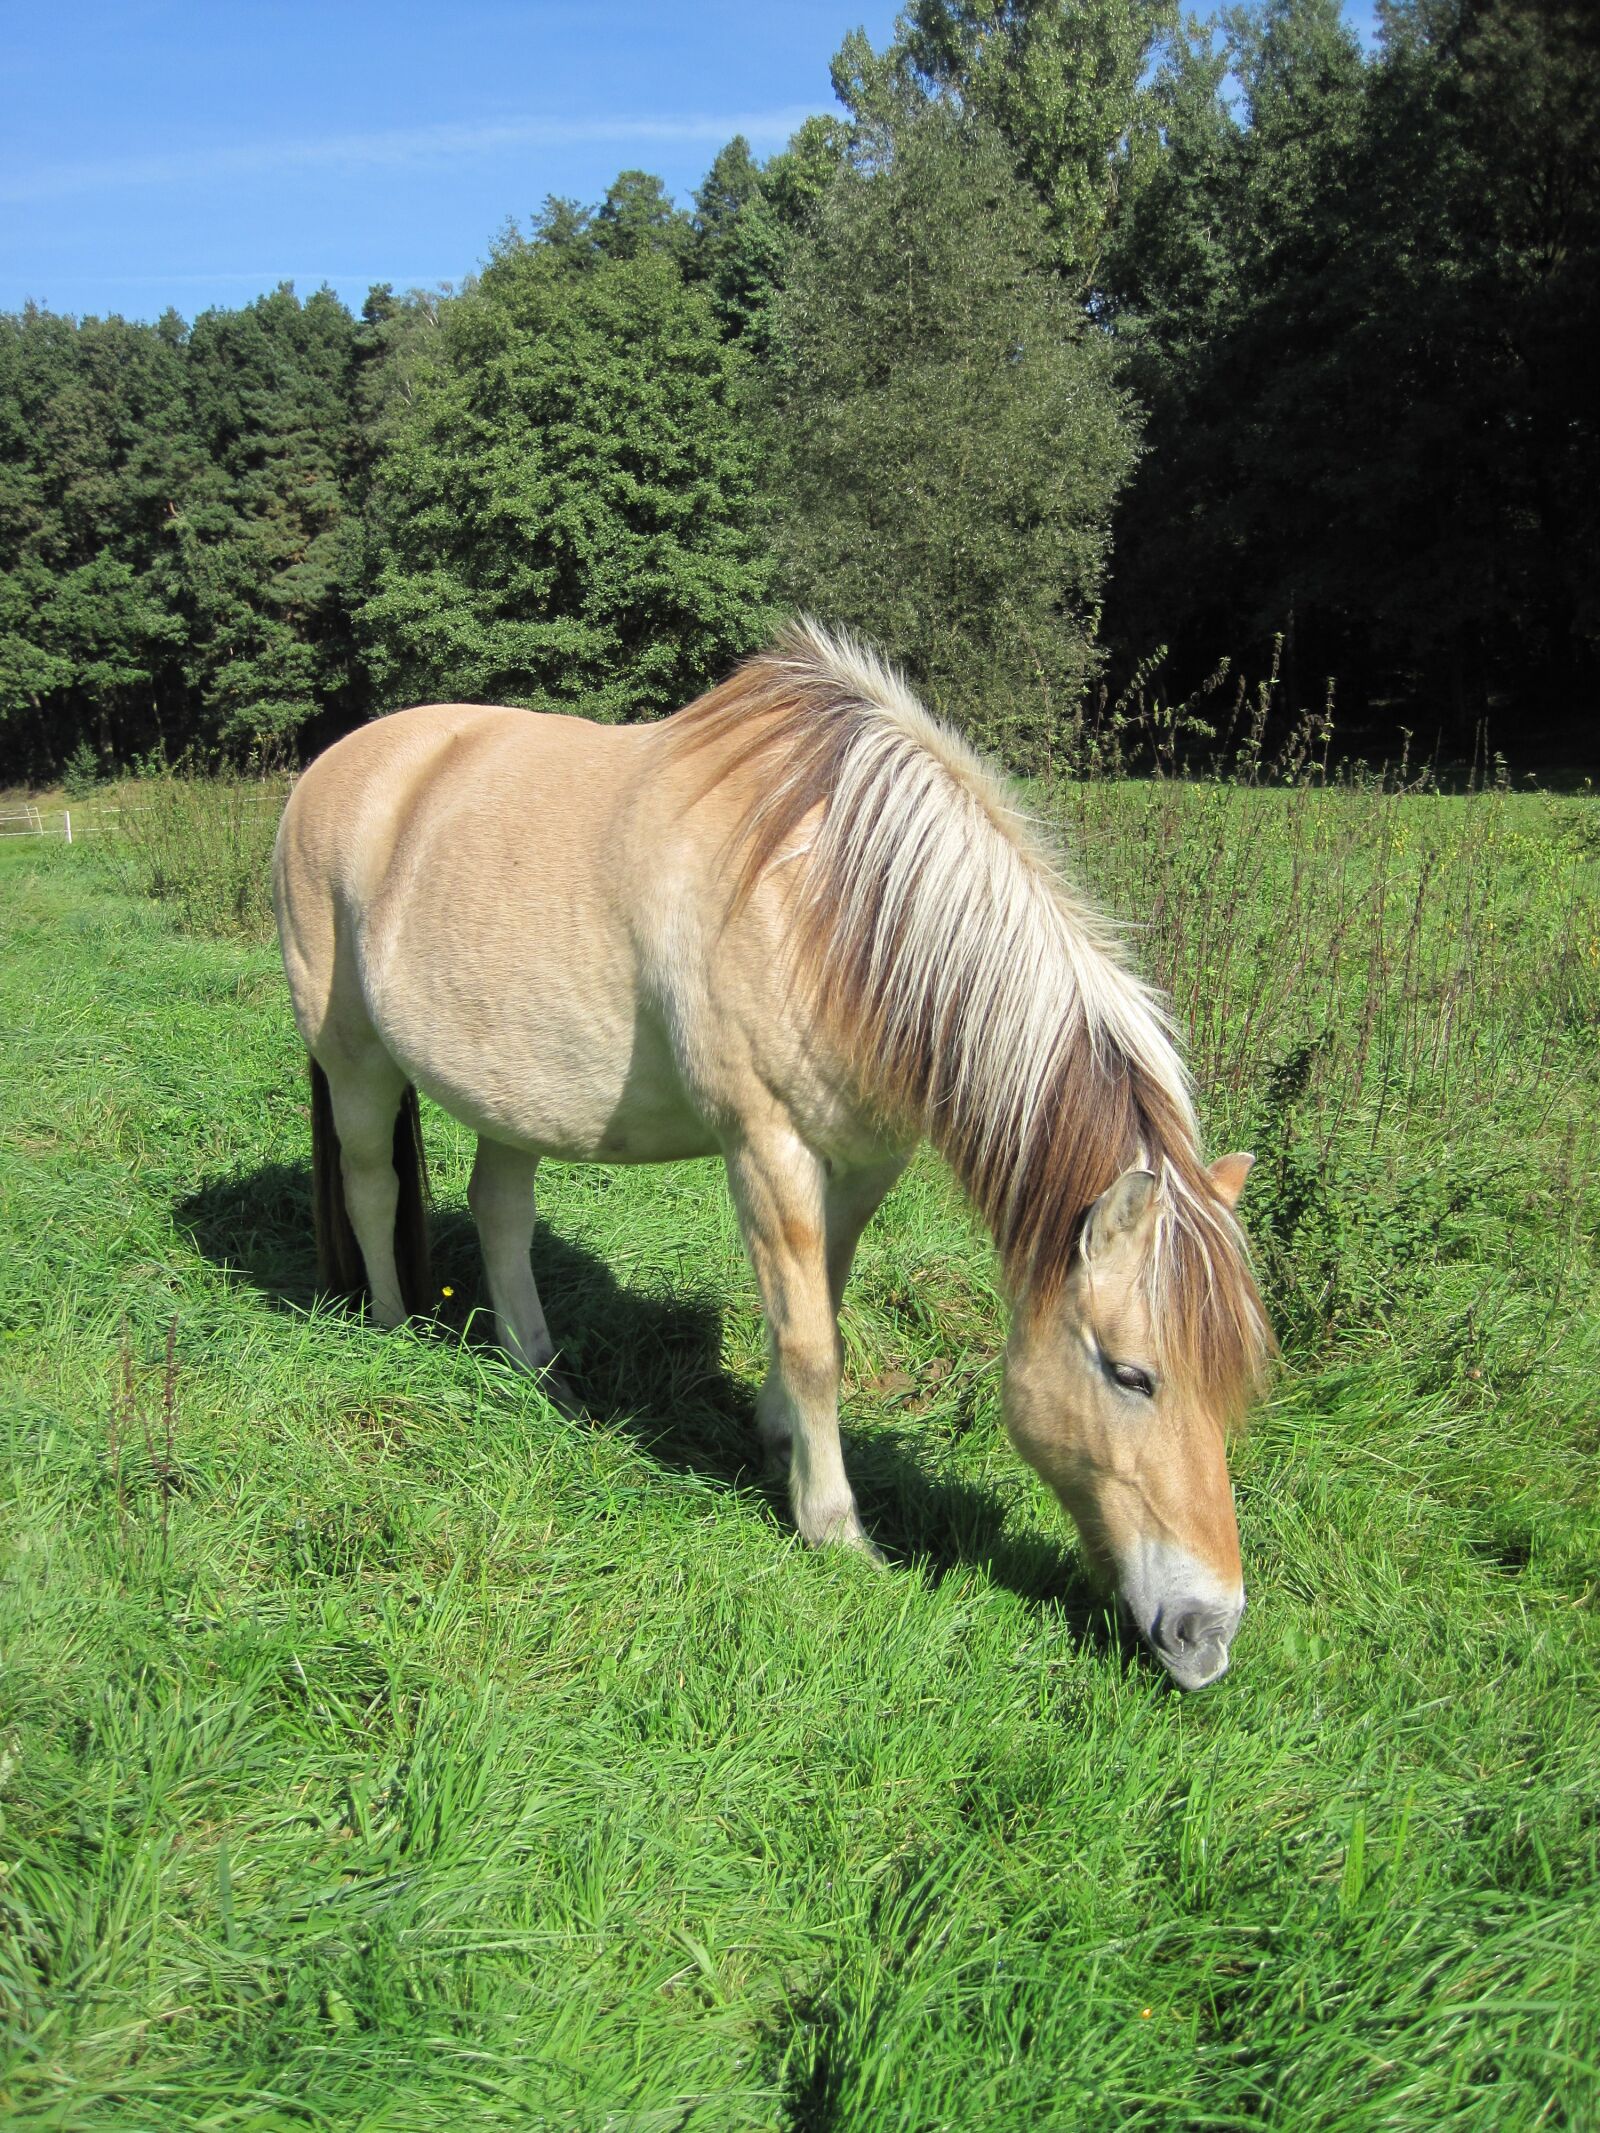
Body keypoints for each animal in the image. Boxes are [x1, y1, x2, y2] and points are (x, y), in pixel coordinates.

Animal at [279, 618, 1280, 1680]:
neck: (829, 905)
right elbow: (810, 1342)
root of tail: (338, 766)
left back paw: (541, 1375)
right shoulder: (767, 1144)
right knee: (374, 1185)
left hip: (512, 1091)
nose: (1207, 1634)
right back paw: (391, 1328)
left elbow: (817, 1306)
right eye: (1132, 1374)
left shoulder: (867, 1158)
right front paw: (834, 1527)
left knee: (499, 1211)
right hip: (353, 1059)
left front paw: (774, 1439)